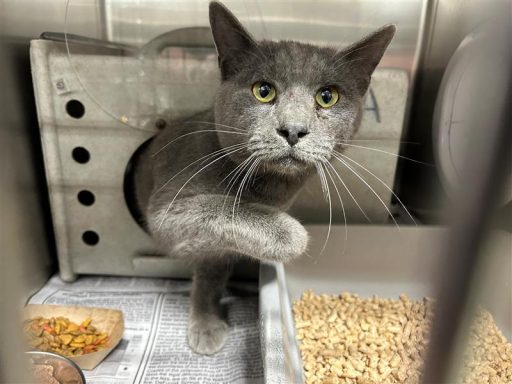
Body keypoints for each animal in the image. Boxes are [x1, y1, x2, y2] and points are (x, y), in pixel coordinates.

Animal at [133, 0, 396, 356]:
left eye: (327, 96)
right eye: (263, 91)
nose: (293, 130)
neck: (266, 190)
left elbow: (213, 268)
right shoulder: (166, 211)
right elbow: (222, 211)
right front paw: (289, 235)